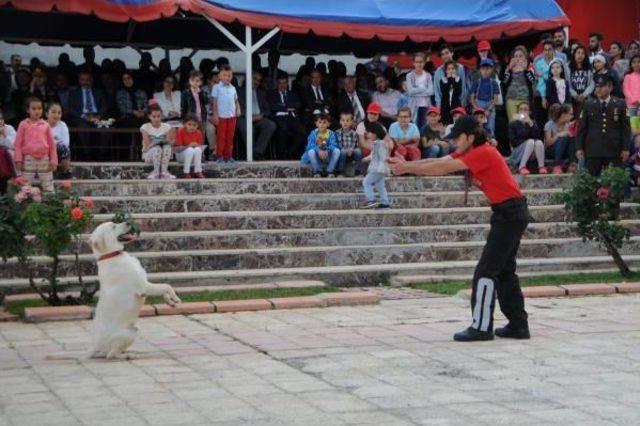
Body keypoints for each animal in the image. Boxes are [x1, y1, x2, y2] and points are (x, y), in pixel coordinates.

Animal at [46, 221, 181, 362]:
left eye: (114, 223)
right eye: (113, 227)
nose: (128, 222)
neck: (112, 255)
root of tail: (93, 346)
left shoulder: (146, 285)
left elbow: (164, 289)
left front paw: (170, 301)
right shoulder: (143, 287)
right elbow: (166, 286)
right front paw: (175, 298)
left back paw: (131, 351)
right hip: (128, 334)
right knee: (111, 355)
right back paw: (128, 355)